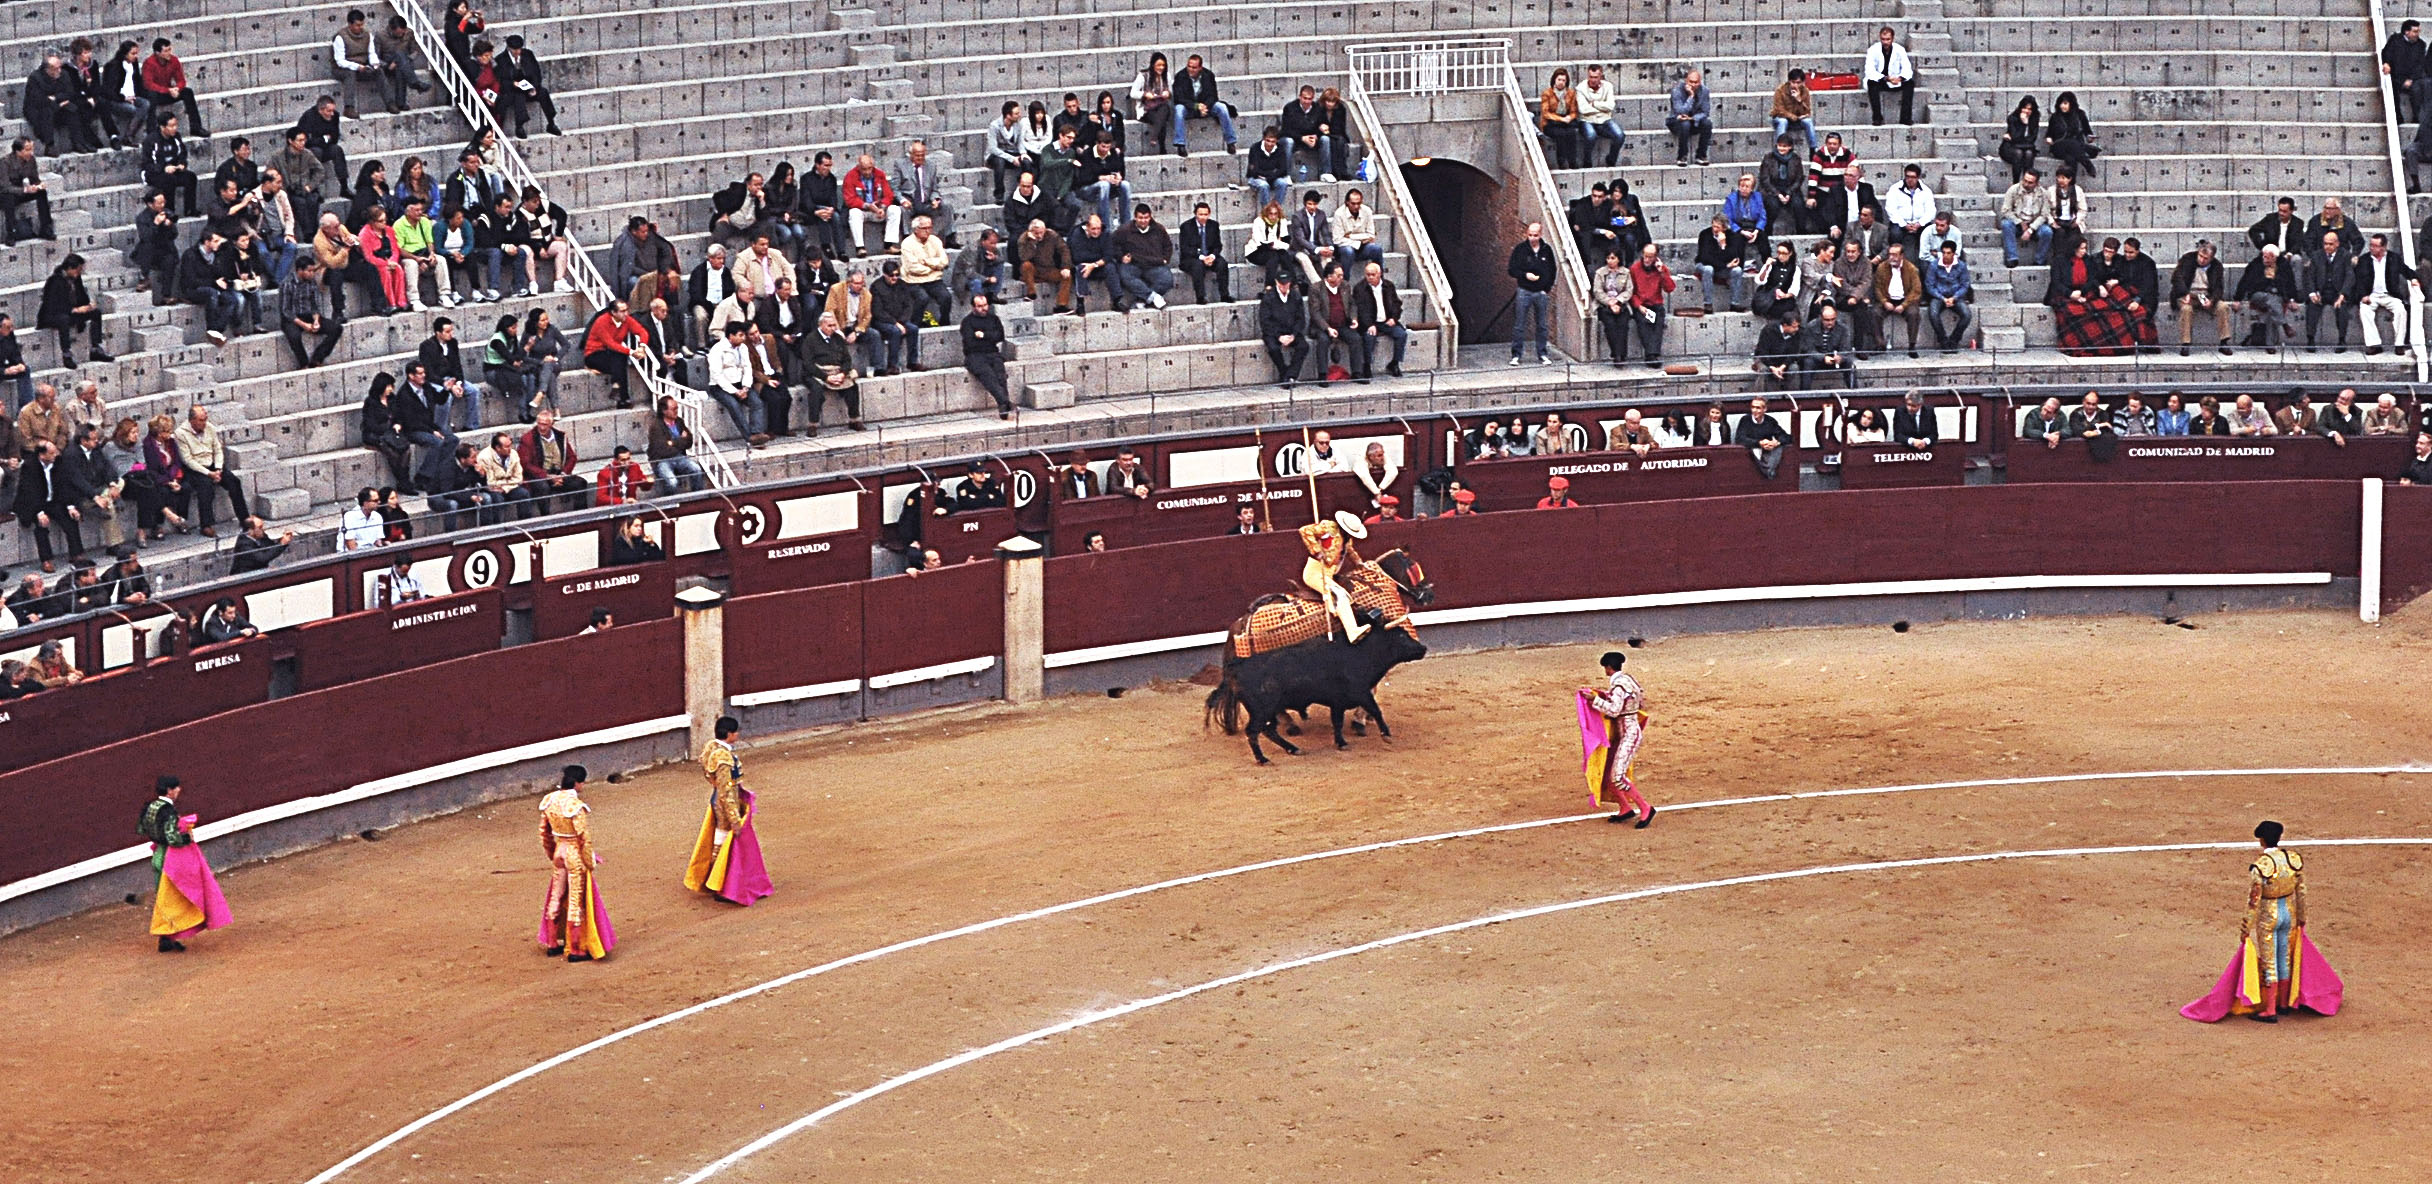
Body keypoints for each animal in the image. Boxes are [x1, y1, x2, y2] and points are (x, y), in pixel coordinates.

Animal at [1206, 549, 1430, 763]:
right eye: (1413, 568)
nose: (1428, 594)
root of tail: (1241, 622)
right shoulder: (1357, 687)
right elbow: (1372, 699)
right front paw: (1363, 723)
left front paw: (1353, 730)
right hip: (1264, 706)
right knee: (1261, 728)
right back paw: (1281, 741)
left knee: (1268, 727)